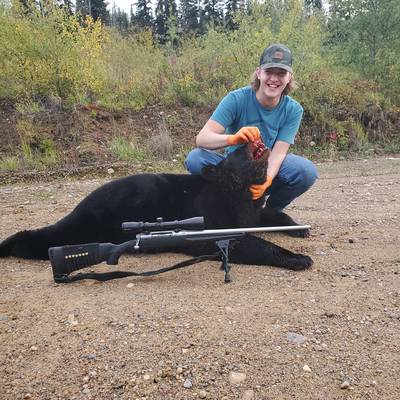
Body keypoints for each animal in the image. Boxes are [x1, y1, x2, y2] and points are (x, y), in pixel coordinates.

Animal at [0, 141, 313, 279]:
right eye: (236, 149)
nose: (252, 140)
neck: (239, 190)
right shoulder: (216, 220)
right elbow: (247, 242)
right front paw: (298, 258)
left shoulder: (252, 207)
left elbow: (270, 214)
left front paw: (299, 228)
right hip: (94, 219)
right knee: (51, 237)